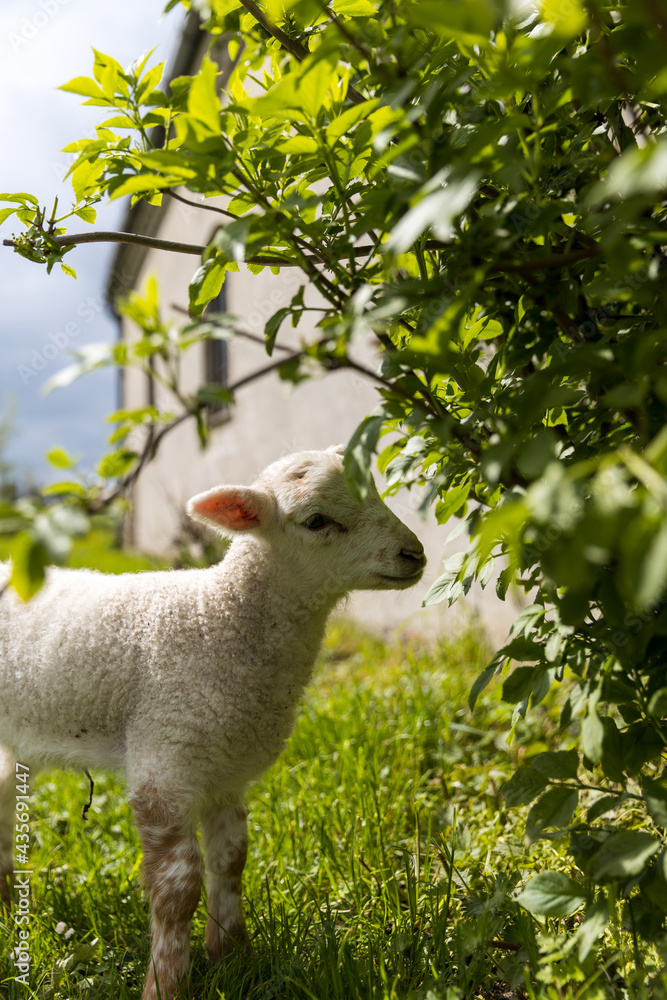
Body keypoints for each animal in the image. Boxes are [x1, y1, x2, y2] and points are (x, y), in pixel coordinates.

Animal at [0, 445, 426, 1000]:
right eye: (316, 521)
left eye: (374, 492)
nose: (414, 554)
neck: (218, 618)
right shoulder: (165, 760)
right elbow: (177, 889)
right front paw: (166, 984)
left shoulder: (226, 767)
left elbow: (232, 859)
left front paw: (232, 956)